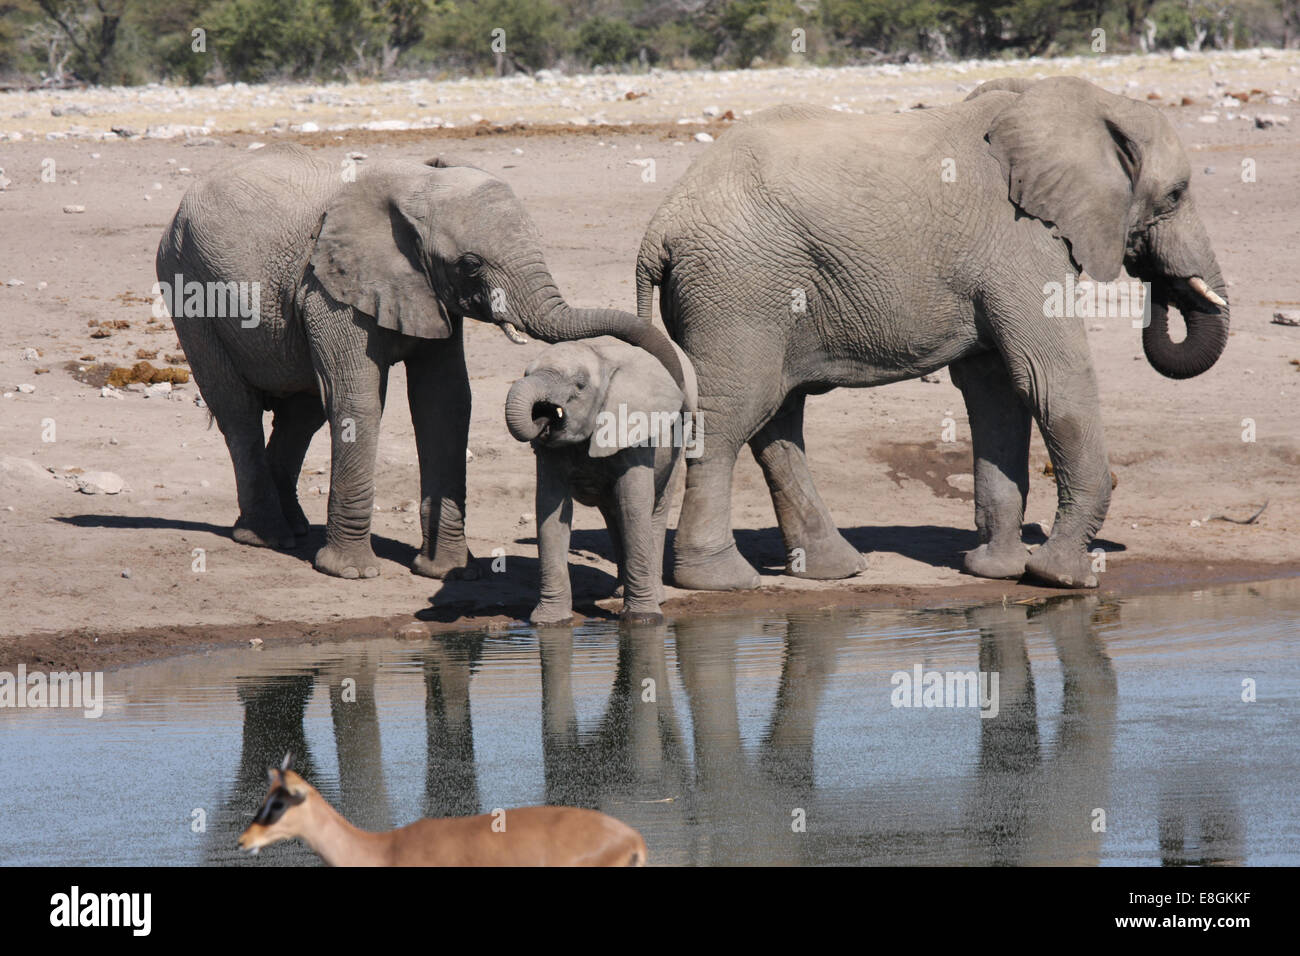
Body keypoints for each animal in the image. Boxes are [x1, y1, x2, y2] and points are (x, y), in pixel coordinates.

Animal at [157, 141, 686, 574]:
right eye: (470, 263)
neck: (415, 187)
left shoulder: (426, 292)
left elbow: (445, 403)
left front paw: (447, 570)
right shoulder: (328, 290)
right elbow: (357, 399)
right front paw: (350, 573)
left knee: (302, 412)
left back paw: (294, 531)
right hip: (187, 287)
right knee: (239, 411)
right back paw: (267, 537)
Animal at [501, 338, 696, 629]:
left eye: (580, 385)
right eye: (525, 373)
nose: (542, 418)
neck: (601, 357)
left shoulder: (633, 430)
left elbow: (633, 505)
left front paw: (643, 620)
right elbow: (550, 509)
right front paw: (549, 623)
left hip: (675, 446)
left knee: (654, 509)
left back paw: (654, 596)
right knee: (614, 514)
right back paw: (620, 591)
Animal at [639, 74, 1227, 590]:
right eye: (1176, 195)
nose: (1160, 282)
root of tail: (657, 230)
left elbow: (998, 392)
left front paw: (997, 572)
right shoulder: (1021, 239)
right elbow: (1051, 379)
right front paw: (1063, 578)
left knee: (776, 417)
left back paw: (835, 570)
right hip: (738, 287)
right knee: (731, 416)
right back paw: (721, 581)